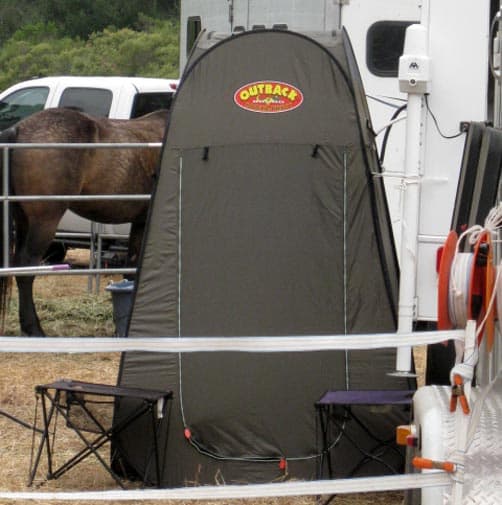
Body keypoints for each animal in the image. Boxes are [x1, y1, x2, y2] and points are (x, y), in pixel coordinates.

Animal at [0, 107, 169, 334]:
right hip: (44, 222)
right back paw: (34, 329)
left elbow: (133, 268)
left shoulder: (141, 223)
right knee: (26, 268)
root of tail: (19, 129)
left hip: (24, 221)